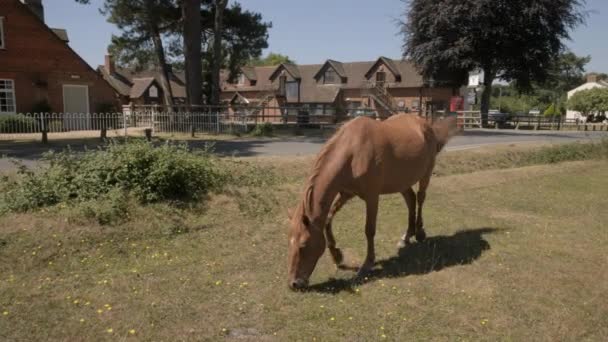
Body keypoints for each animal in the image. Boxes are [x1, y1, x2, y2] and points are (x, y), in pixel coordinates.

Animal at [288, 114, 458, 288]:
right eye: (290, 243)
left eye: (303, 245)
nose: (294, 283)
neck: (353, 152)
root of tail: (424, 123)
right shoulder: (346, 193)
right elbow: (328, 219)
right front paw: (337, 256)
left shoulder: (372, 197)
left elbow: (369, 230)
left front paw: (367, 264)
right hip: (401, 182)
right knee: (410, 200)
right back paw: (405, 237)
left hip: (425, 175)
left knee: (420, 198)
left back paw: (419, 233)